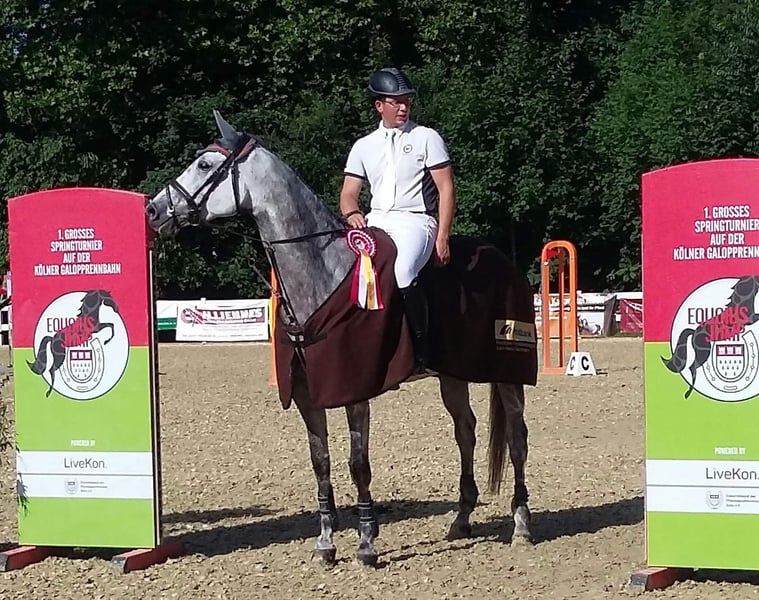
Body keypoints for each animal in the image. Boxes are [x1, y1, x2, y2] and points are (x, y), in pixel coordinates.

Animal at [145, 111, 538, 566]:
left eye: (205, 165)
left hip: (507, 372)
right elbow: (321, 462)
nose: (153, 210)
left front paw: (367, 543)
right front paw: (326, 544)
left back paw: (522, 524)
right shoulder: (307, 395)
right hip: (452, 374)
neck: (323, 273)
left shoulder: (355, 391)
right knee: (466, 432)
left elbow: (358, 463)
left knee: (517, 438)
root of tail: (504, 261)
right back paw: (461, 520)